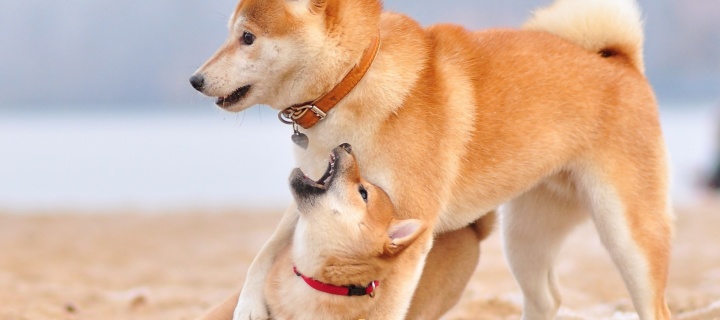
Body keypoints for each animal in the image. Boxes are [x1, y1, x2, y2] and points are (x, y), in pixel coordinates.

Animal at [190, 0, 668, 318]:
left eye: (247, 38)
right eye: (233, 33)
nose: (195, 80)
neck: (352, 82)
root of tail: (620, 63)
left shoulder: (404, 226)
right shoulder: (316, 186)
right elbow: (264, 252)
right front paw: (249, 305)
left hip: (627, 235)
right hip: (525, 237)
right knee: (545, 297)